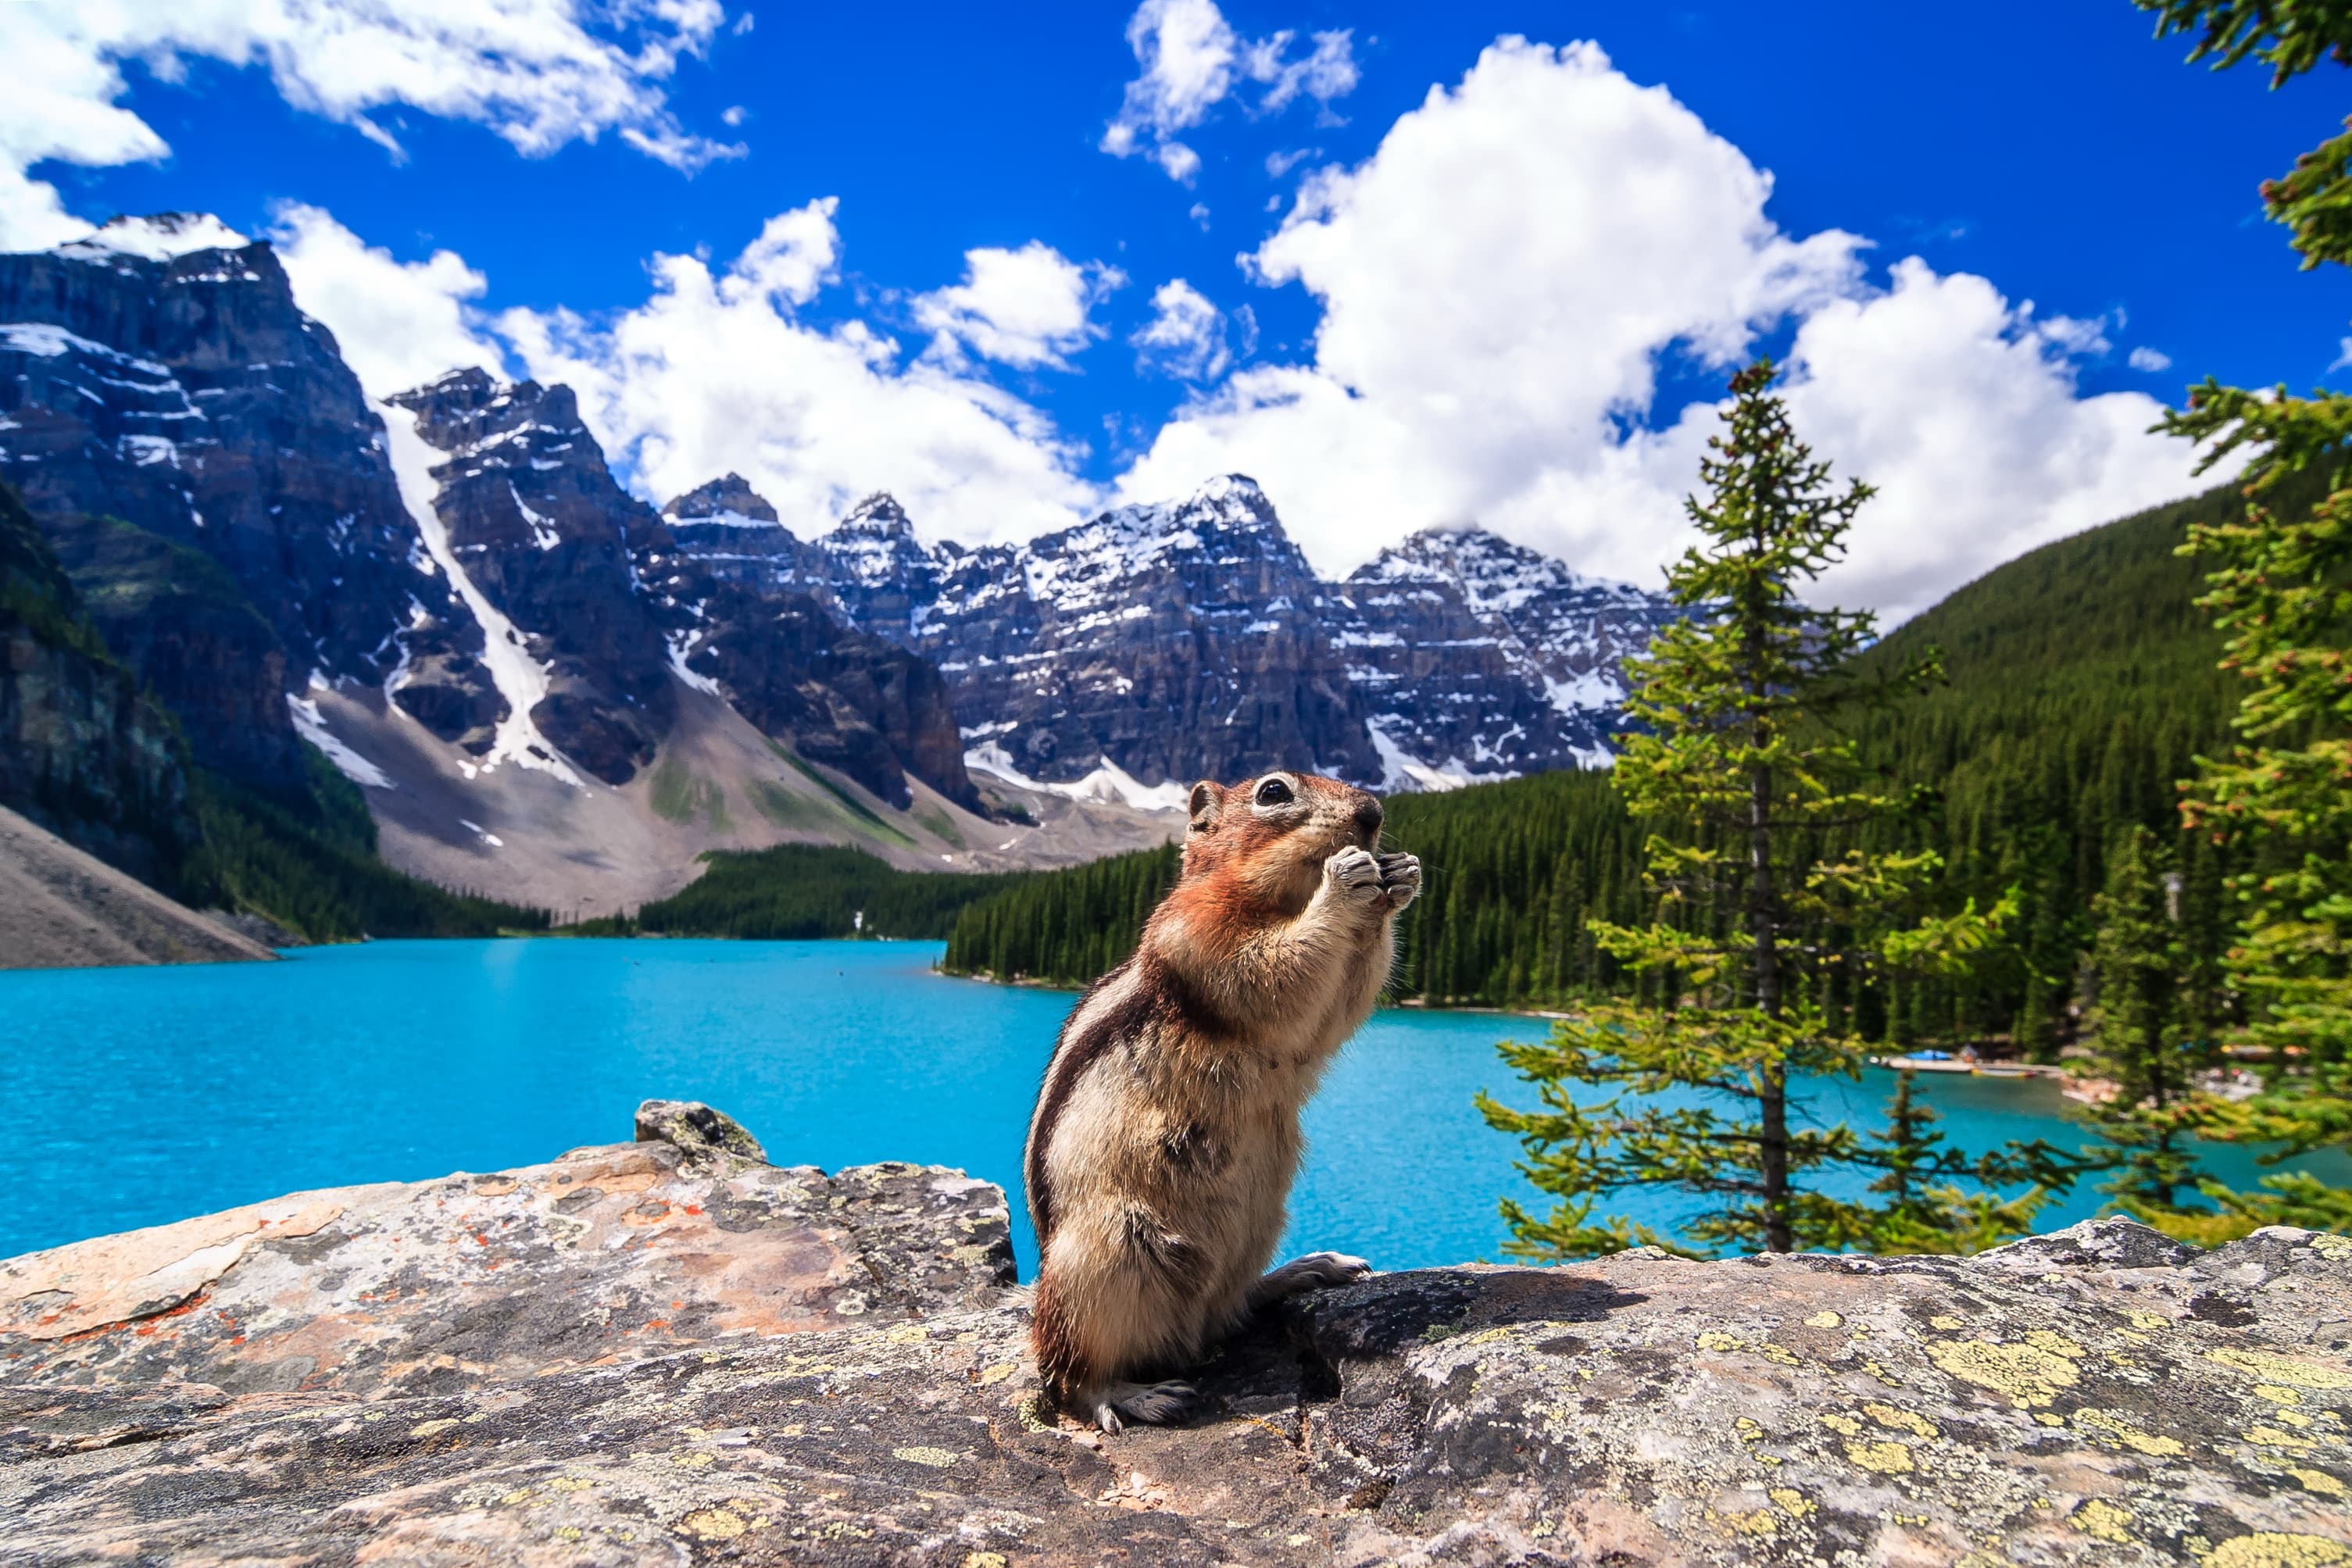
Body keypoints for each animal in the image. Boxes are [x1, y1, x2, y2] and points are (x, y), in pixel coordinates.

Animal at [1022, 770, 1420, 1431]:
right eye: (1273, 791)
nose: (1373, 811)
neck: (1276, 899)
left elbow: (1336, 1010)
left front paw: (1401, 877)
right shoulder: (1199, 930)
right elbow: (1273, 970)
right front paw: (1345, 880)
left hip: (1260, 1224)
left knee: (1228, 1310)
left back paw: (1303, 1271)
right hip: (1104, 1257)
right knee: (1070, 1372)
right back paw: (1130, 1395)